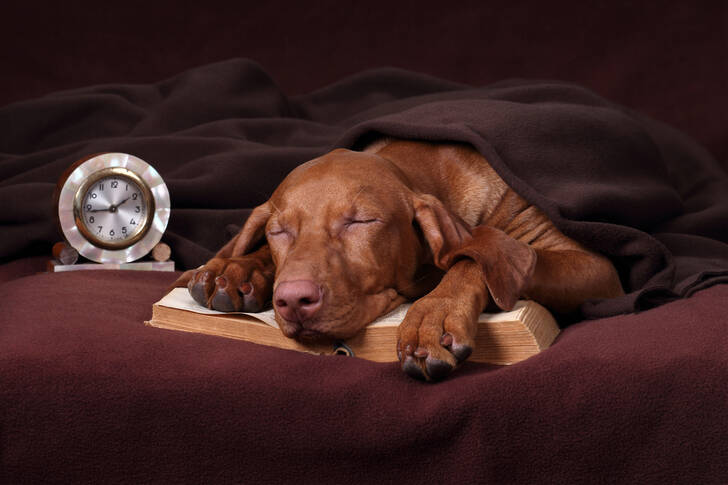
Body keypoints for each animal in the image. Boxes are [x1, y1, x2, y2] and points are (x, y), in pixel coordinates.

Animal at [173, 138, 624, 380]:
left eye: (361, 221)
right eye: (279, 231)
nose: (293, 300)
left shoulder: (596, 268)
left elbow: (472, 258)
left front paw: (432, 316)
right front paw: (234, 268)